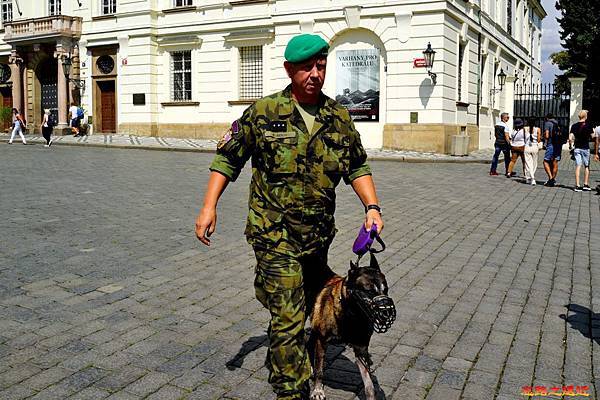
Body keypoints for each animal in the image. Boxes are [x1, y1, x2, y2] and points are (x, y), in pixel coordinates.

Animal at [310, 253, 394, 400]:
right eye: (369, 291)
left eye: (386, 290)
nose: (386, 312)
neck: (353, 315)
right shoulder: (321, 340)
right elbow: (319, 369)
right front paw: (318, 390)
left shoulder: (361, 348)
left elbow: (369, 384)